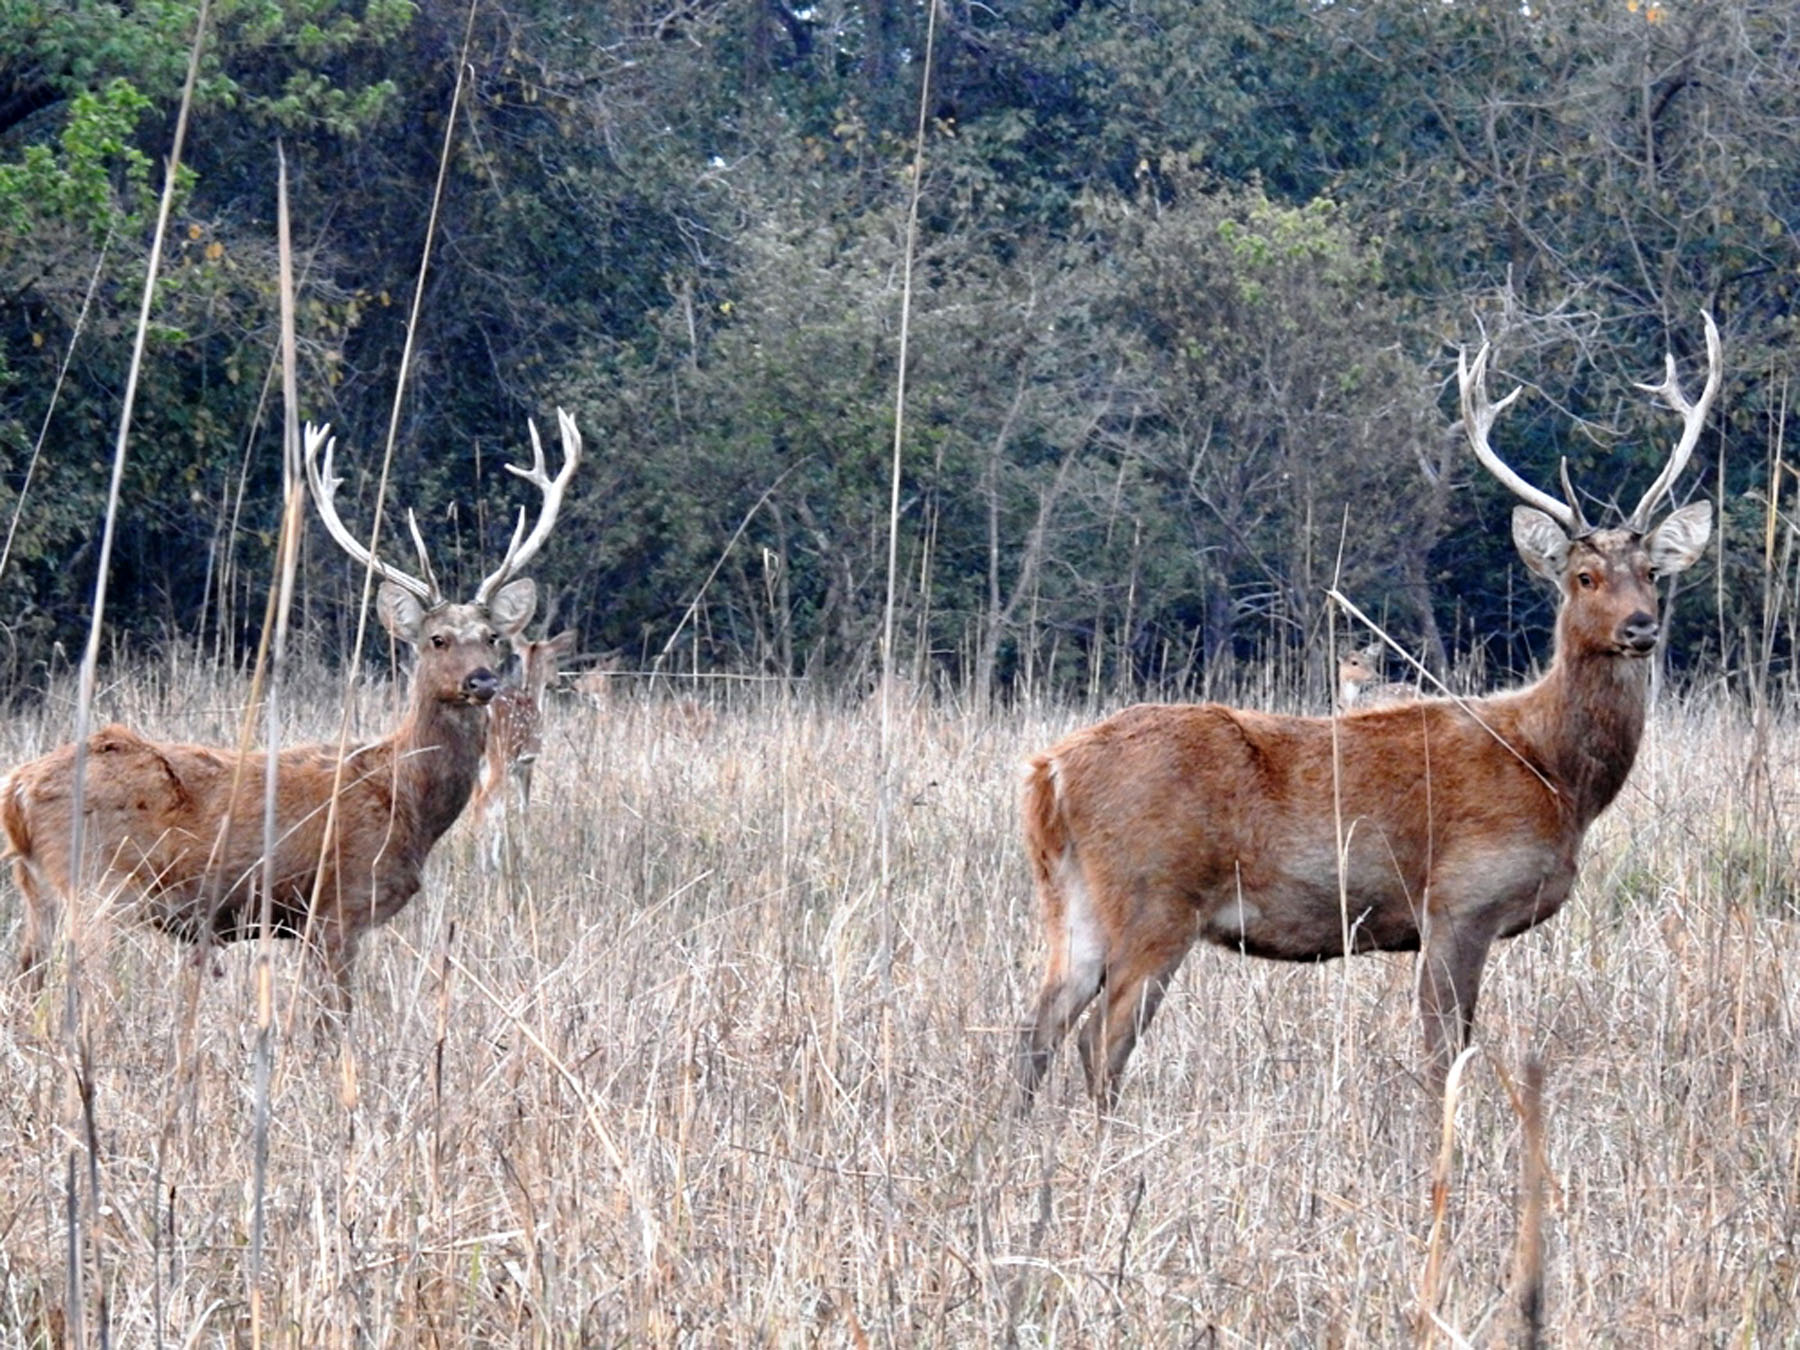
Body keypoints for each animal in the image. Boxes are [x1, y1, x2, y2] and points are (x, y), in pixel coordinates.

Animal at [471, 630, 576, 871]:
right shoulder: (527, 762)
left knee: (477, 803)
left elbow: (500, 810)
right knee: (481, 803)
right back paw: (481, 867)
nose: (559, 680)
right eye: (553, 659)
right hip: (501, 757)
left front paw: (498, 857)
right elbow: (523, 807)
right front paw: (525, 856)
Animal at [1022, 320, 1720, 1108]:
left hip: (1072, 896)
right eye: (1584, 576)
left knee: (1039, 1027)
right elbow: (1446, 1051)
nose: (1641, 626)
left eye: (1653, 573)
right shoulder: (1459, 900)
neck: (1553, 771)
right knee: (1099, 1040)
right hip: (1155, 894)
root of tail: (1049, 772)